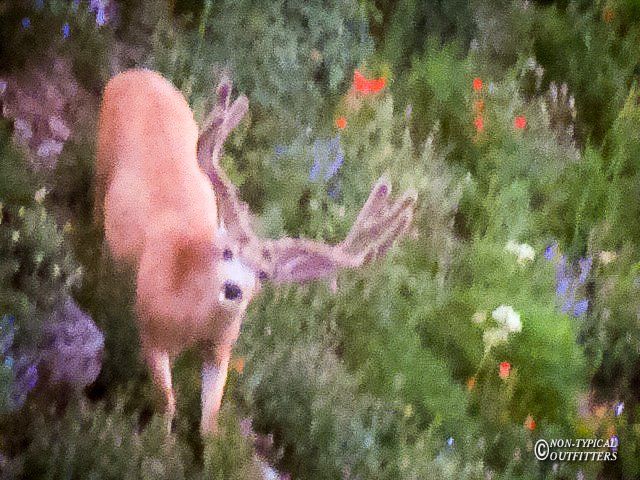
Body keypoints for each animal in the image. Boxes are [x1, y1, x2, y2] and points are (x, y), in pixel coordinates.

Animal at [94, 68, 417, 436]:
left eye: (263, 274)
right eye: (228, 252)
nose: (233, 289)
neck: (190, 316)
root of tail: (134, 73)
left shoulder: (221, 348)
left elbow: (210, 418)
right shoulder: (150, 329)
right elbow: (167, 403)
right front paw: (155, 441)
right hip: (101, 159)